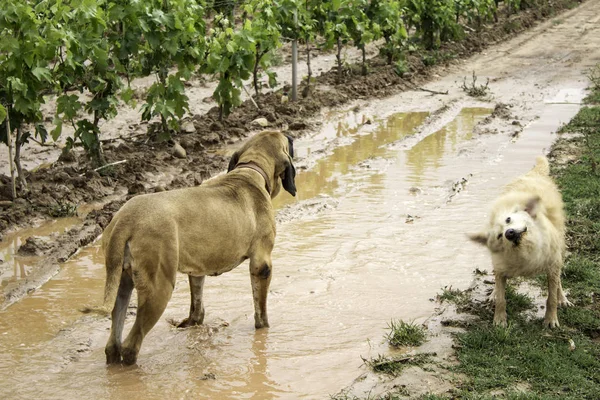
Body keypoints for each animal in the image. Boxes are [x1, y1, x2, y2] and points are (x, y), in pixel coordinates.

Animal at [94, 131, 296, 366]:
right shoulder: (261, 265)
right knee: (131, 344)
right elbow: (260, 310)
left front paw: (193, 323)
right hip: (158, 288)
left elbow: (196, 303)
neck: (251, 170)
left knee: (113, 341)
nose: (291, 136)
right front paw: (264, 330)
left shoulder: (197, 270)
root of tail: (125, 219)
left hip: (121, 281)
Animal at [468, 156, 572, 328]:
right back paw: (494, 293)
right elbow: (501, 297)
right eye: (499, 235)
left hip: (560, 247)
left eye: (508, 219)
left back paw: (562, 297)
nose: (509, 233)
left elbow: (551, 297)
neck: (524, 249)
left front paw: (551, 319)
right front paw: (499, 319)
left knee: (559, 281)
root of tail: (533, 174)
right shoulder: (501, 267)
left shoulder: (552, 265)